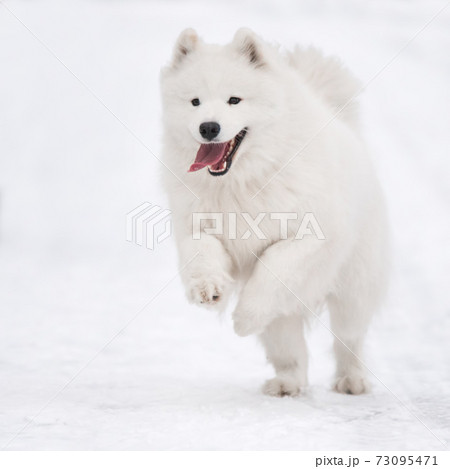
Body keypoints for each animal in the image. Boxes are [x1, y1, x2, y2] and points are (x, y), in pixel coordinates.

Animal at [160, 28, 388, 394]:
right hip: (289, 321)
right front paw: (208, 289)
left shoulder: (309, 238)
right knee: (289, 348)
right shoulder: (198, 225)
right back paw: (286, 385)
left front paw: (243, 318)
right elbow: (202, 252)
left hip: (354, 289)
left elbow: (273, 267)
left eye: (234, 100)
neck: (244, 179)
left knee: (349, 338)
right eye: (194, 102)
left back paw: (352, 380)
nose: (208, 127)